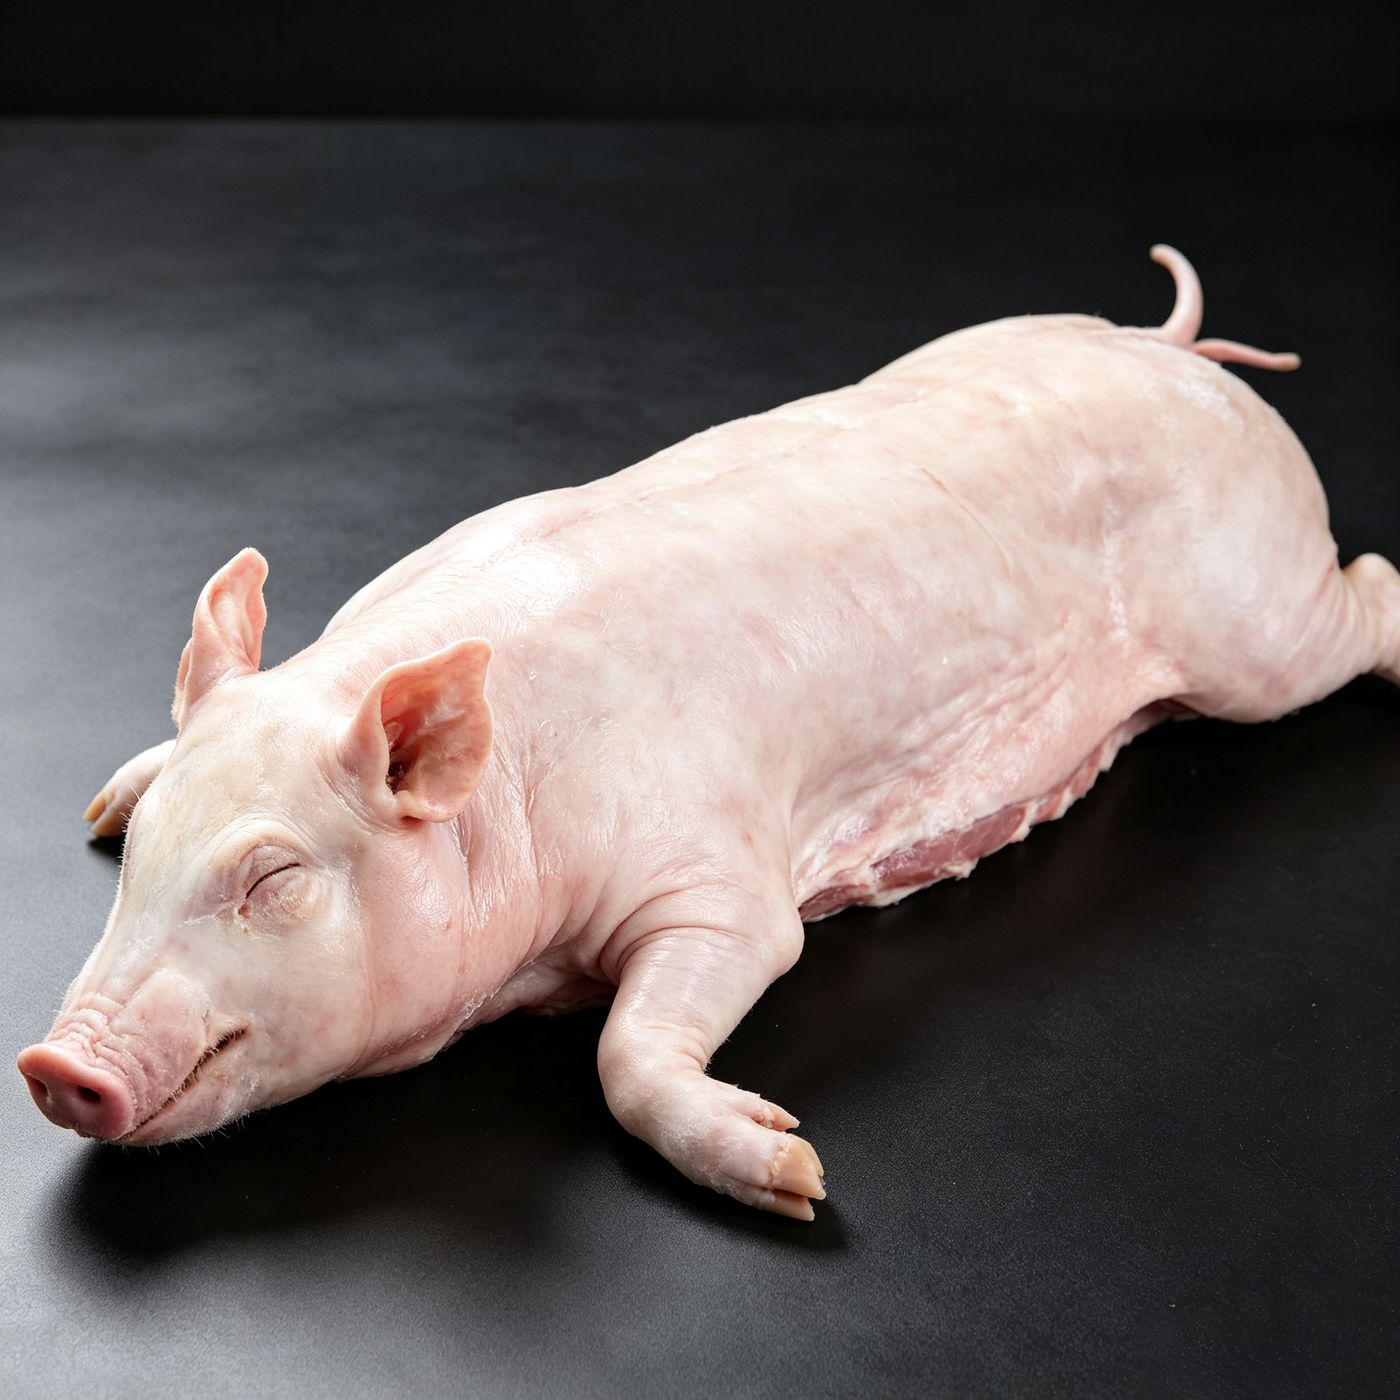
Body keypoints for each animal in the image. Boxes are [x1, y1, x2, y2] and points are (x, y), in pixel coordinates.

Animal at [17, 246, 1400, 1221]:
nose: (51, 1064)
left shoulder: (717, 876)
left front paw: (794, 1177)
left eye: (272, 878)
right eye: (136, 854)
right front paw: (102, 794)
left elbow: (644, 1035)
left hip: (1256, 617)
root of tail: (1176, 355)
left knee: (1361, 591)